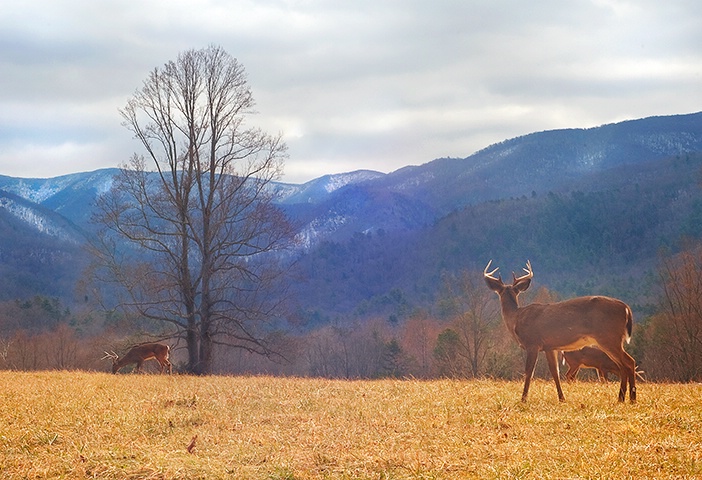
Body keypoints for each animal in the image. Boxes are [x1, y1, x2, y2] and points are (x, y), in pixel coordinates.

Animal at [484, 260, 640, 404]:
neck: (516, 318)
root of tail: (626, 308)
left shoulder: (533, 343)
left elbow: (529, 372)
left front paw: (523, 399)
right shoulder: (550, 347)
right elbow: (555, 373)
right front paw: (562, 398)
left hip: (608, 337)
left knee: (629, 362)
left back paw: (630, 398)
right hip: (610, 340)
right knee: (623, 365)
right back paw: (623, 398)